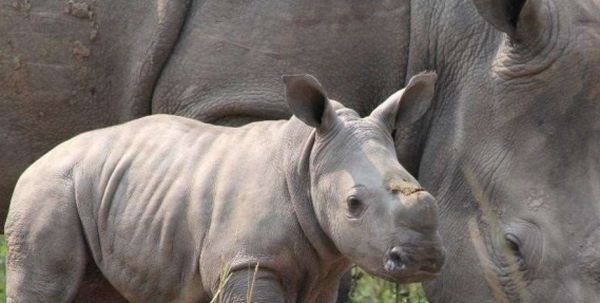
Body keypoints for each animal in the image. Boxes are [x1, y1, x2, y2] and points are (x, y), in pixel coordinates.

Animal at [5, 72, 446, 302]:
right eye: (353, 203)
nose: (423, 258)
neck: (307, 162)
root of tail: (35, 163)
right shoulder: (248, 262)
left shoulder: (325, 268)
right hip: (47, 191)